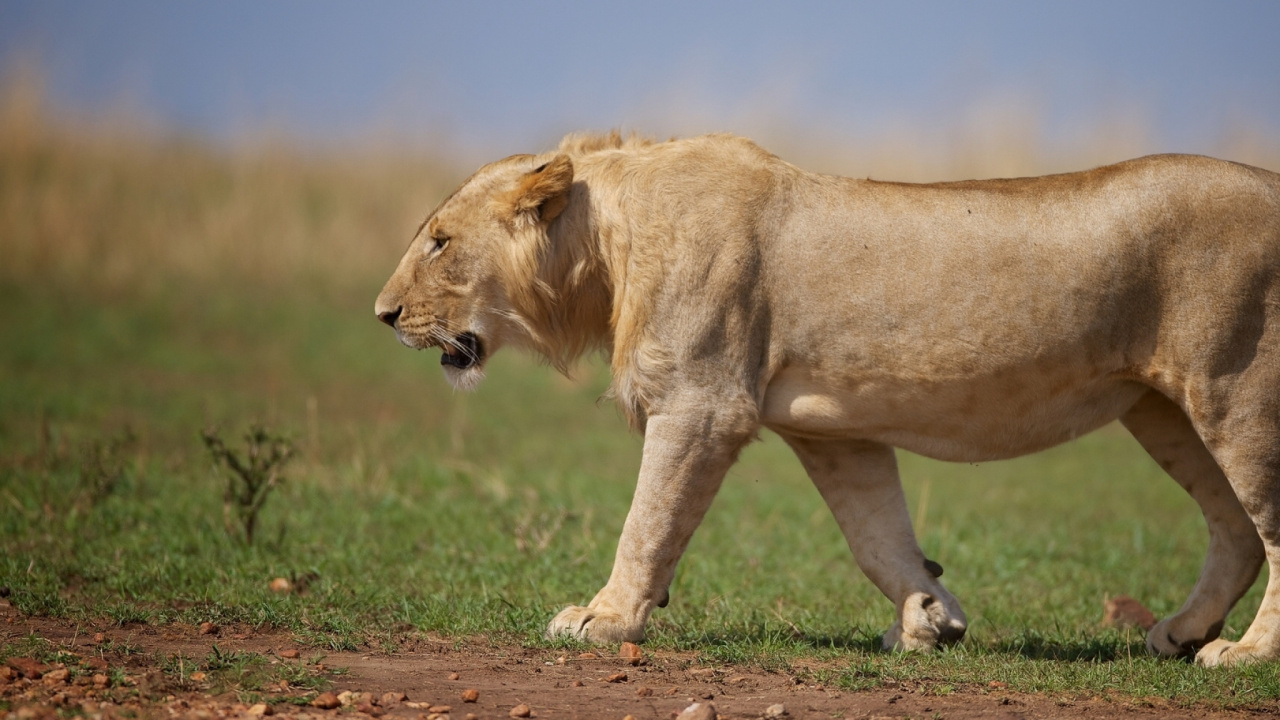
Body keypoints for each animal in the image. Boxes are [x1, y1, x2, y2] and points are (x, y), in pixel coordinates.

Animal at [375, 131, 1280, 667]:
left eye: (440, 242)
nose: (382, 315)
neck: (606, 245)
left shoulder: (702, 404)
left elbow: (648, 523)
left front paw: (605, 619)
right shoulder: (836, 430)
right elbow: (878, 536)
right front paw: (929, 619)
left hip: (1239, 391)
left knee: (1268, 524)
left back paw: (1243, 657)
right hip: (1159, 408)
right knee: (1235, 528)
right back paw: (1180, 632)